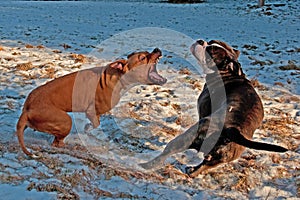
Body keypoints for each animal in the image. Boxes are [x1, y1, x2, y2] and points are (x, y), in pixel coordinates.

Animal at [16, 47, 166, 157]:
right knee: (57, 142)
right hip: (64, 121)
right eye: (142, 58)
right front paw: (88, 129)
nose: (157, 49)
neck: (118, 77)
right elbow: (95, 125)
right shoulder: (91, 111)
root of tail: (27, 110)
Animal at [141, 39, 288, 177]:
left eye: (210, 51)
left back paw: (145, 164)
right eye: (211, 41)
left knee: (167, 151)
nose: (201, 41)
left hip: (189, 135)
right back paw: (191, 170)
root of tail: (231, 129)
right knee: (203, 167)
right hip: (222, 157)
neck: (229, 73)